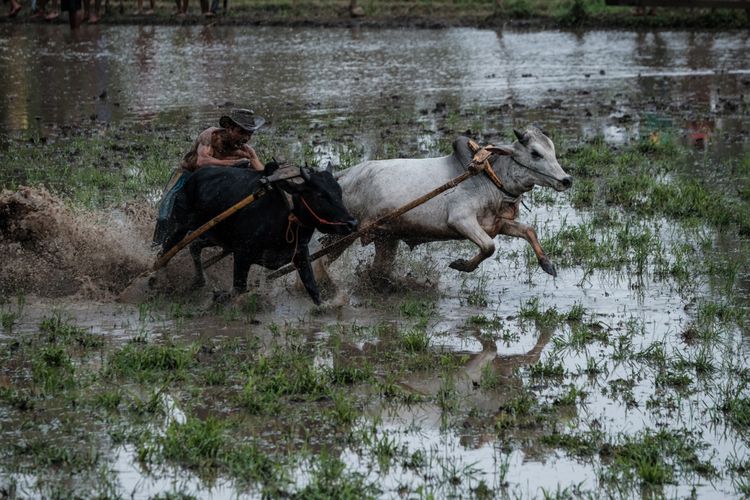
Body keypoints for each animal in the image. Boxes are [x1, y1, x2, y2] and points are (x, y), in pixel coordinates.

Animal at [161, 165, 358, 304]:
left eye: (339, 192)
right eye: (320, 195)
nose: (352, 223)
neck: (287, 213)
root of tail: (193, 177)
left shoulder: (300, 255)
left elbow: (314, 292)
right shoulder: (242, 254)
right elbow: (238, 289)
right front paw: (218, 297)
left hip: (214, 236)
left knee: (194, 246)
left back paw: (199, 280)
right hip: (180, 226)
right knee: (164, 252)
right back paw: (161, 281)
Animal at [326, 125, 572, 280]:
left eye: (552, 151)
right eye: (535, 153)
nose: (566, 180)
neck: (488, 177)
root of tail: (343, 176)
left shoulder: (497, 223)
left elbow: (529, 231)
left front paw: (547, 264)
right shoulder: (461, 220)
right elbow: (489, 247)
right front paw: (461, 265)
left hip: (385, 237)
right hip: (342, 235)